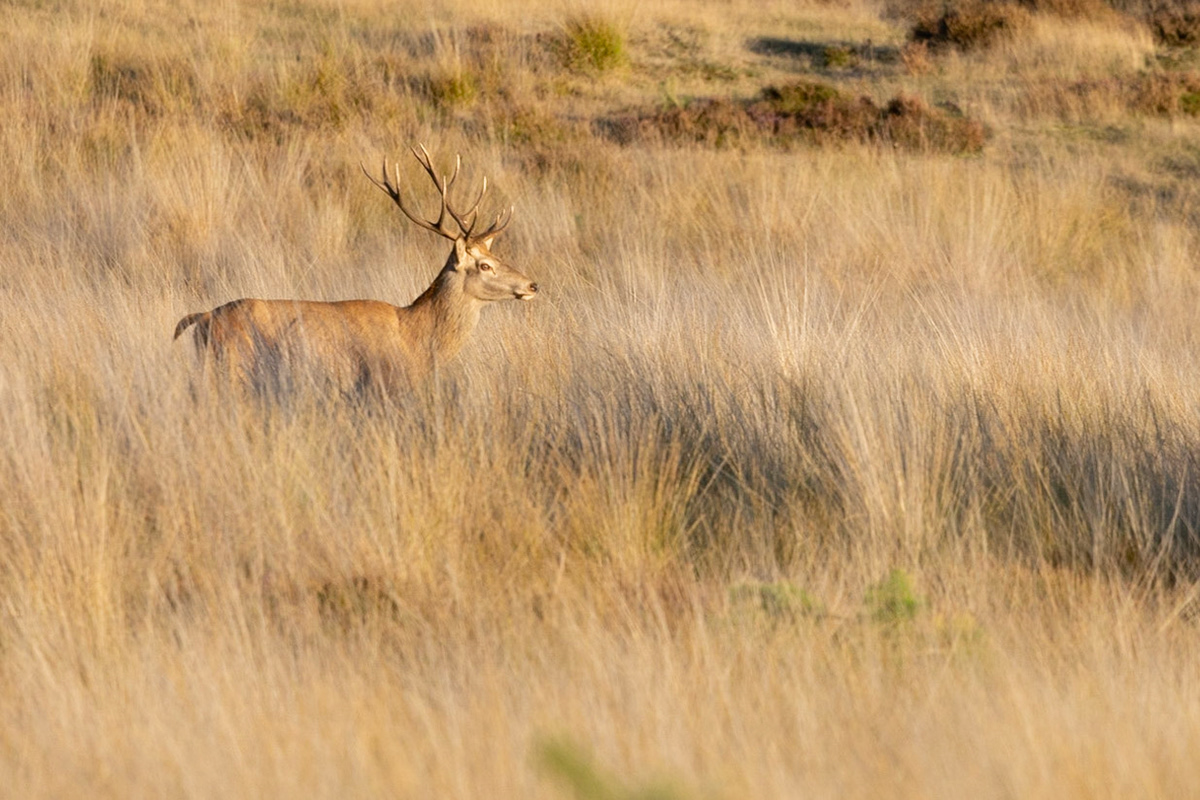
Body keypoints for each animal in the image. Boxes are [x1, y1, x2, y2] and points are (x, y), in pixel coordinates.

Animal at [173, 146, 538, 398]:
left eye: (494, 253)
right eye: (485, 265)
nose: (533, 285)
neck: (415, 340)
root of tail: (203, 318)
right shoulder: (378, 385)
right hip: (231, 367)